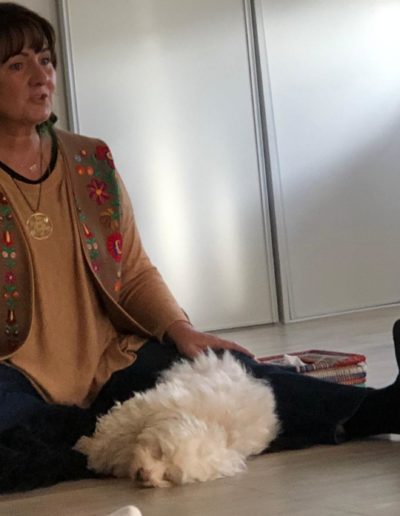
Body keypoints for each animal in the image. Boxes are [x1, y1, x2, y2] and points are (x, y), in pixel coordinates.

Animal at [75, 351, 279, 487]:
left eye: (168, 475)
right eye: (159, 451)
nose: (144, 475)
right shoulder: (141, 412)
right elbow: (113, 434)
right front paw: (89, 448)